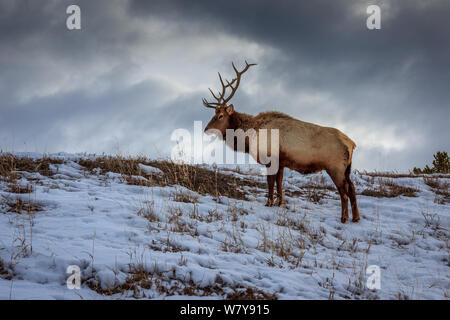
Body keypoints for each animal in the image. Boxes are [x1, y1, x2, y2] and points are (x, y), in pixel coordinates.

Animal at [204, 61, 362, 224]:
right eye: (214, 114)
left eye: (220, 116)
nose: (206, 129)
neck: (249, 138)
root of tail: (352, 144)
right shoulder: (281, 162)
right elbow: (279, 183)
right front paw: (279, 203)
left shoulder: (270, 158)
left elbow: (270, 182)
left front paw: (268, 203)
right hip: (347, 168)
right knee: (352, 188)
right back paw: (356, 217)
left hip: (335, 167)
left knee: (344, 191)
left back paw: (344, 217)